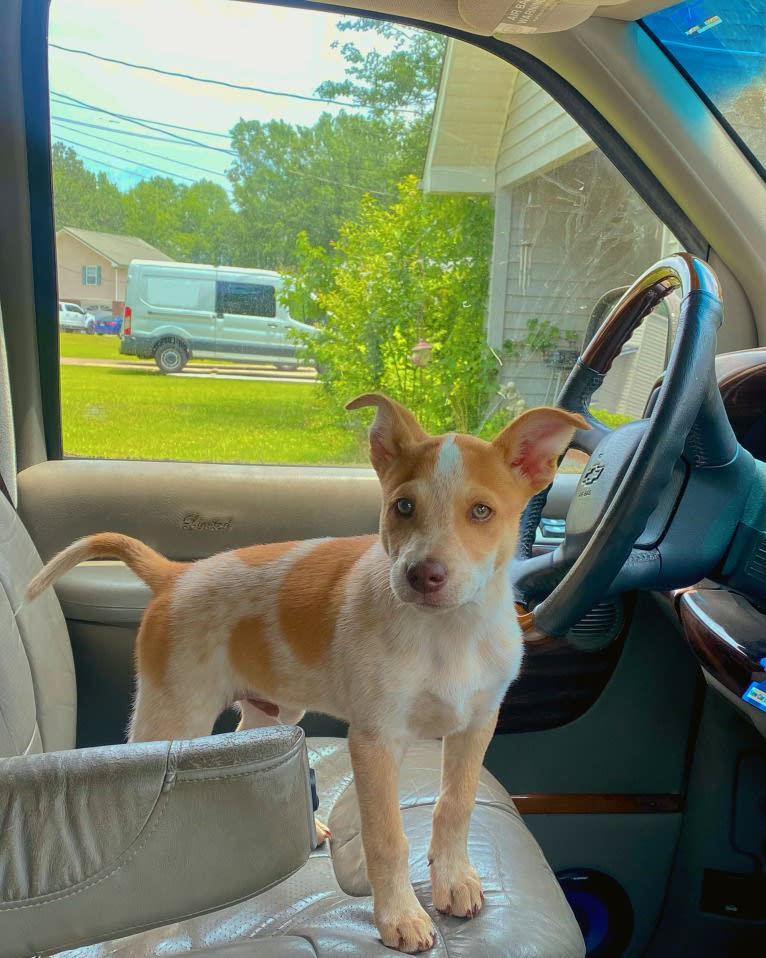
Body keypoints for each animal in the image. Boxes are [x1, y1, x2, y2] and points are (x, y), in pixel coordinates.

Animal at [25, 394, 588, 956]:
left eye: (481, 512)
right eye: (404, 507)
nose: (422, 575)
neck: (449, 632)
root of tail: (175, 575)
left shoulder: (477, 723)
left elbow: (456, 804)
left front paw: (454, 880)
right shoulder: (376, 740)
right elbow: (387, 837)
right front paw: (400, 915)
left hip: (271, 709)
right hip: (171, 715)